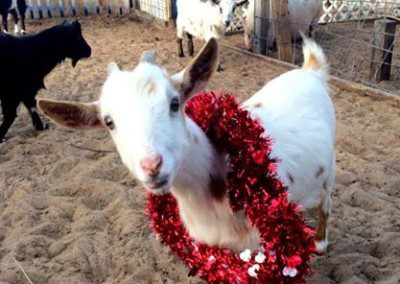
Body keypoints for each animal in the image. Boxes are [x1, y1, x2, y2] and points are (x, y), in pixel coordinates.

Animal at [39, 37, 334, 253]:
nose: (152, 166)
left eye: (175, 103)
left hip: (328, 170)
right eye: (109, 121)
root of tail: (310, 71)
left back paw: (319, 242)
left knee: (326, 202)